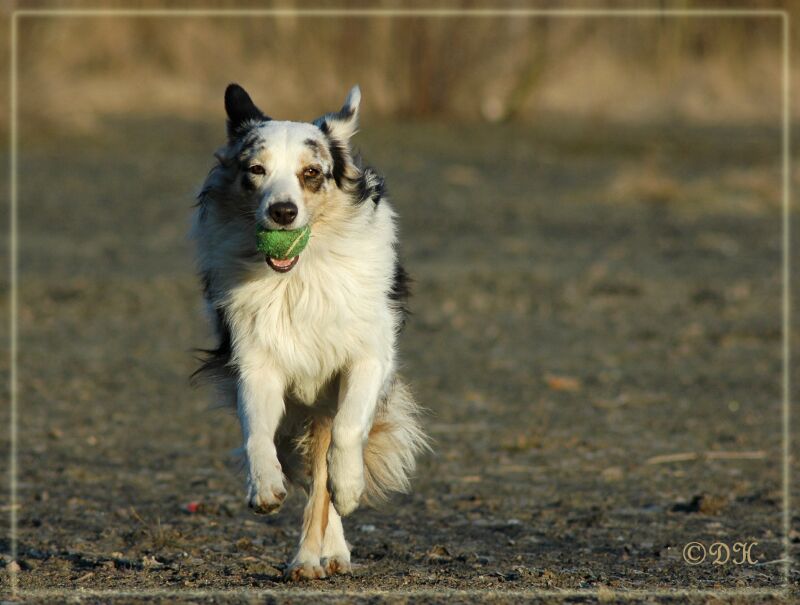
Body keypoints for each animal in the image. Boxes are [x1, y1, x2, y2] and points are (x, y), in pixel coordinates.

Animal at [191, 82, 428, 580]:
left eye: (312, 173)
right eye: (256, 170)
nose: (282, 212)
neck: (299, 275)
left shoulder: (368, 357)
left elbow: (348, 433)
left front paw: (350, 485)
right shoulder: (256, 362)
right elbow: (257, 432)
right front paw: (263, 487)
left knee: (323, 481)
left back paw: (324, 550)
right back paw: (309, 558)